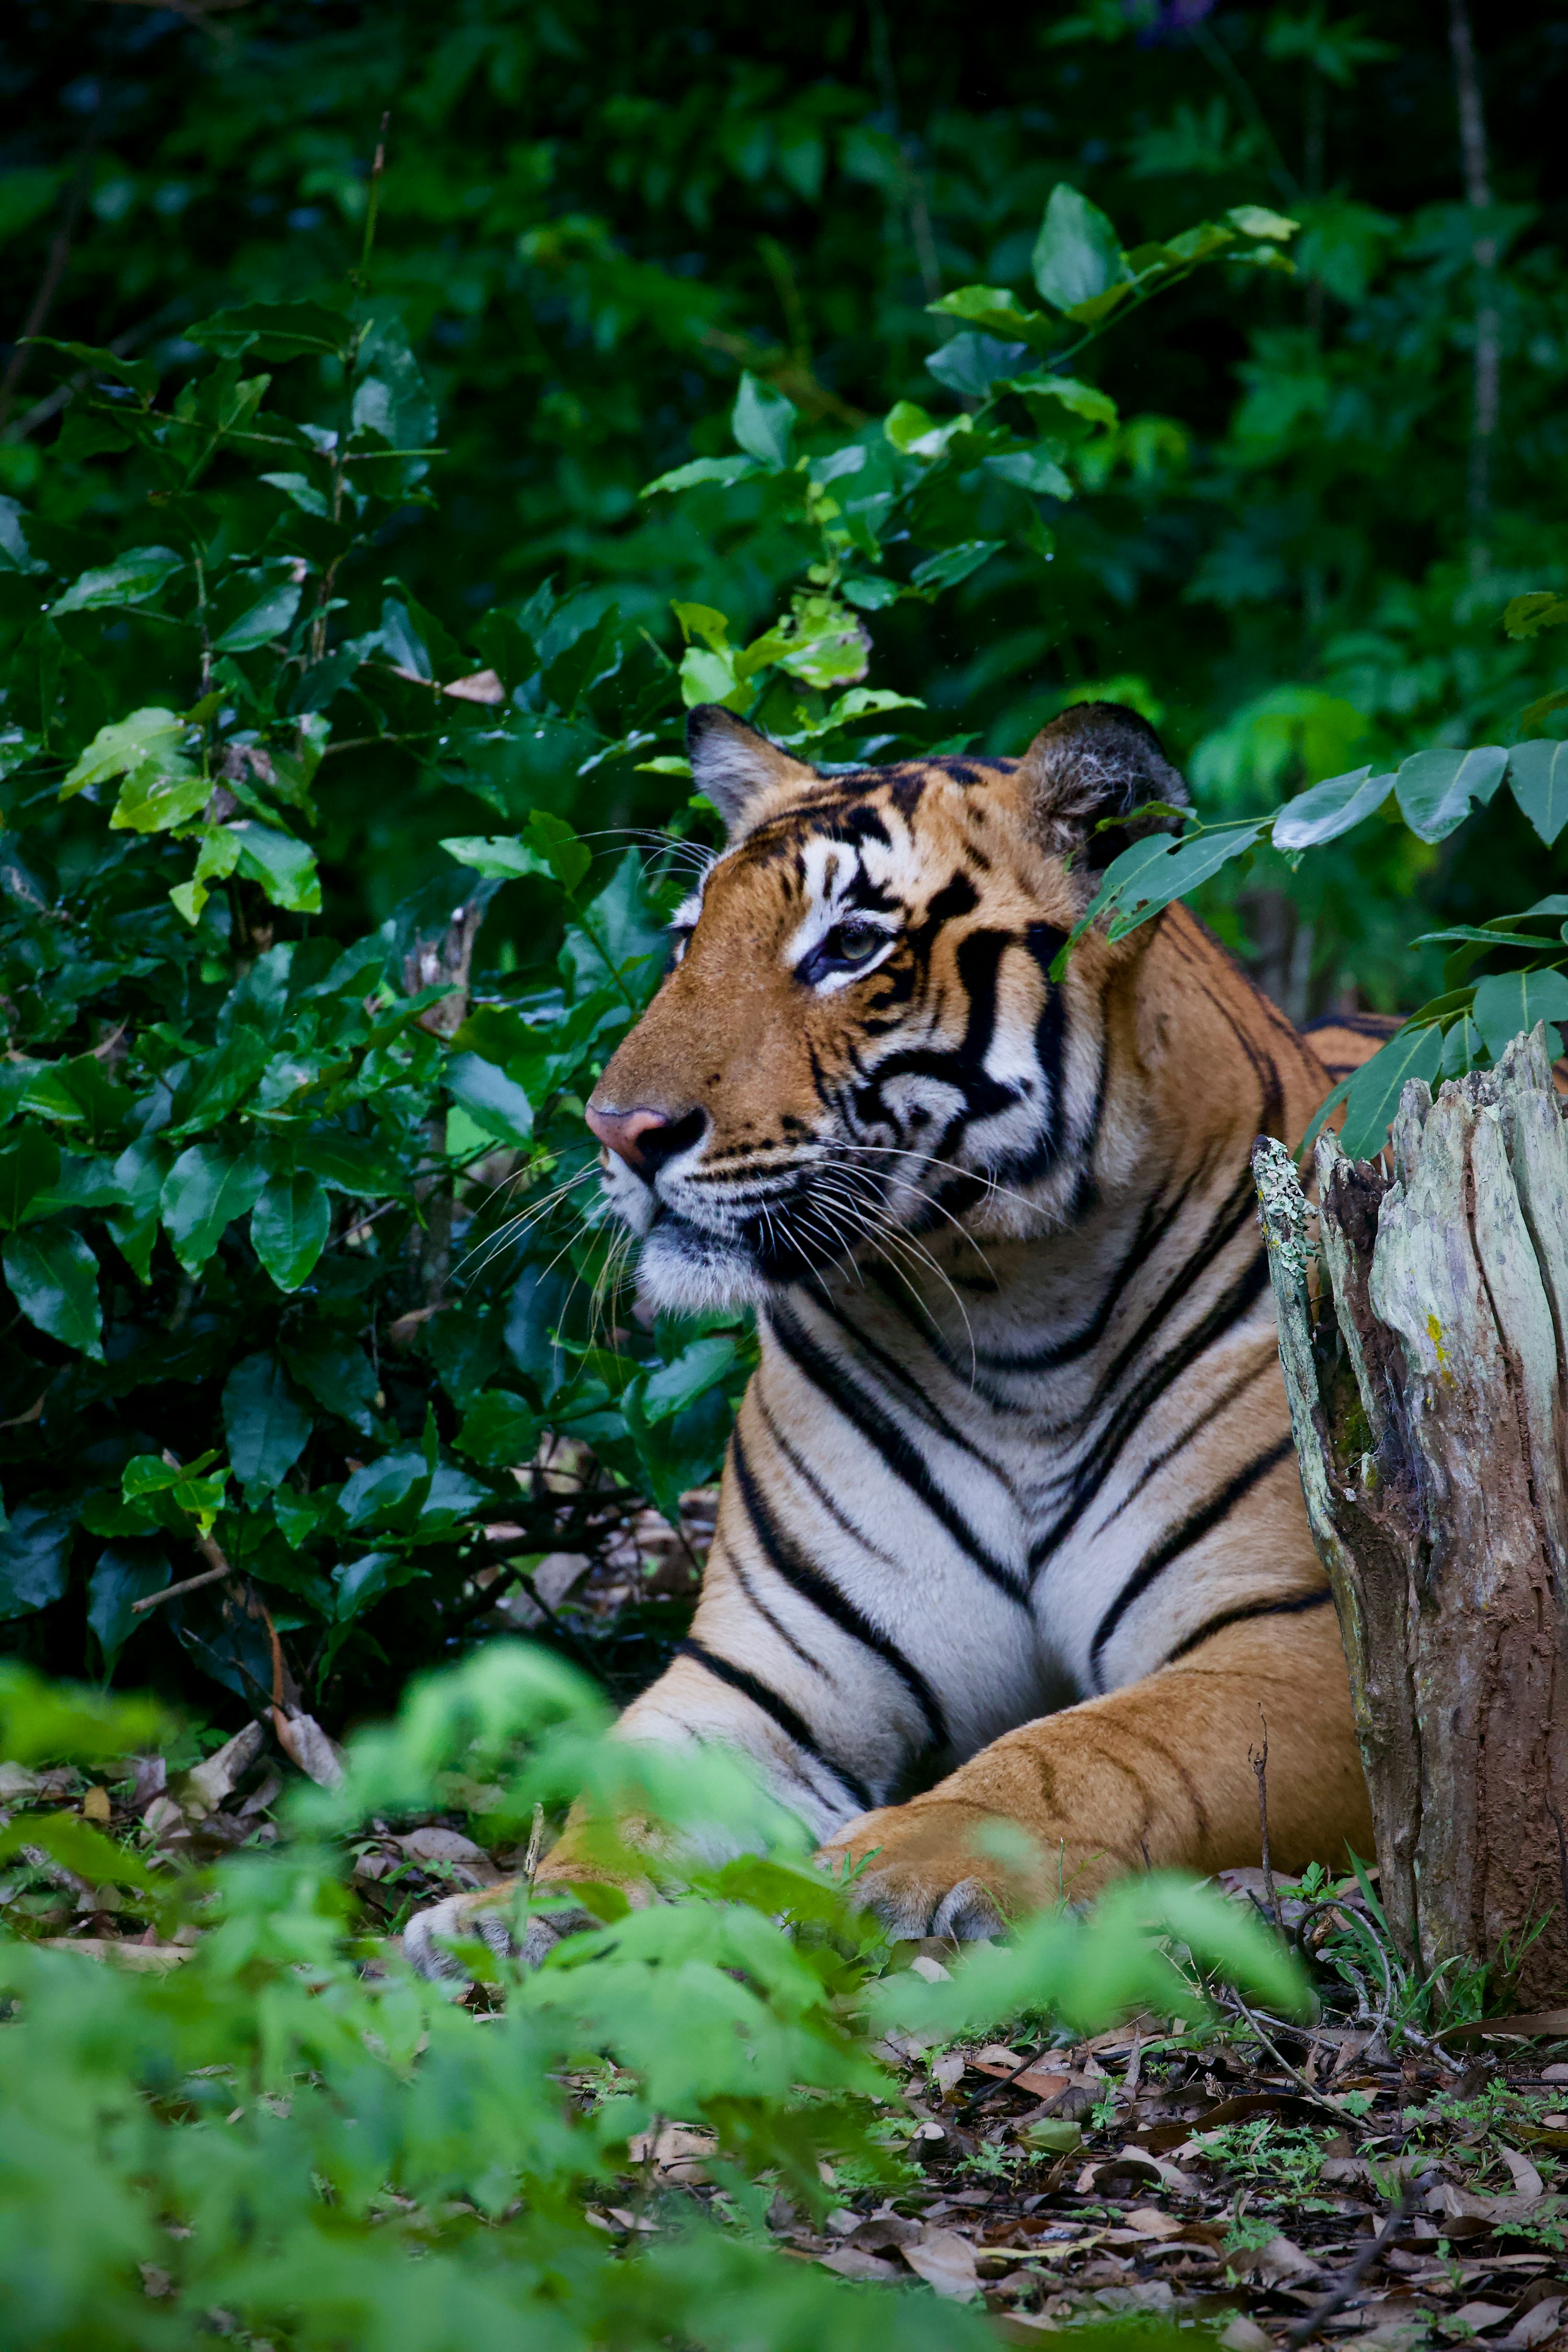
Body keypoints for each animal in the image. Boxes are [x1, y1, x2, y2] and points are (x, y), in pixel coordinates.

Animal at [405, 698, 1377, 1977]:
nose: (618, 1130)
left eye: (849, 947)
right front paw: (525, 1914)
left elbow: (1090, 1748)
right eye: (685, 942)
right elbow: (623, 1798)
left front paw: (897, 1863)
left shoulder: (1302, 1646)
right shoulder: (764, 1671)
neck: (1013, 1317)